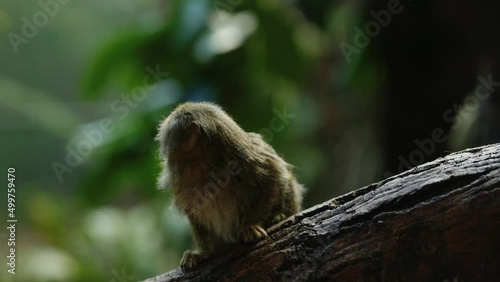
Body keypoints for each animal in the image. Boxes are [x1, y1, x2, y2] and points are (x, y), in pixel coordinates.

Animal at [156, 102, 304, 270]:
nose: (166, 154)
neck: (204, 164)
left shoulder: (244, 157)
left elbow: (272, 175)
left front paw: (249, 226)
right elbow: (195, 209)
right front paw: (202, 251)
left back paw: (277, 216)